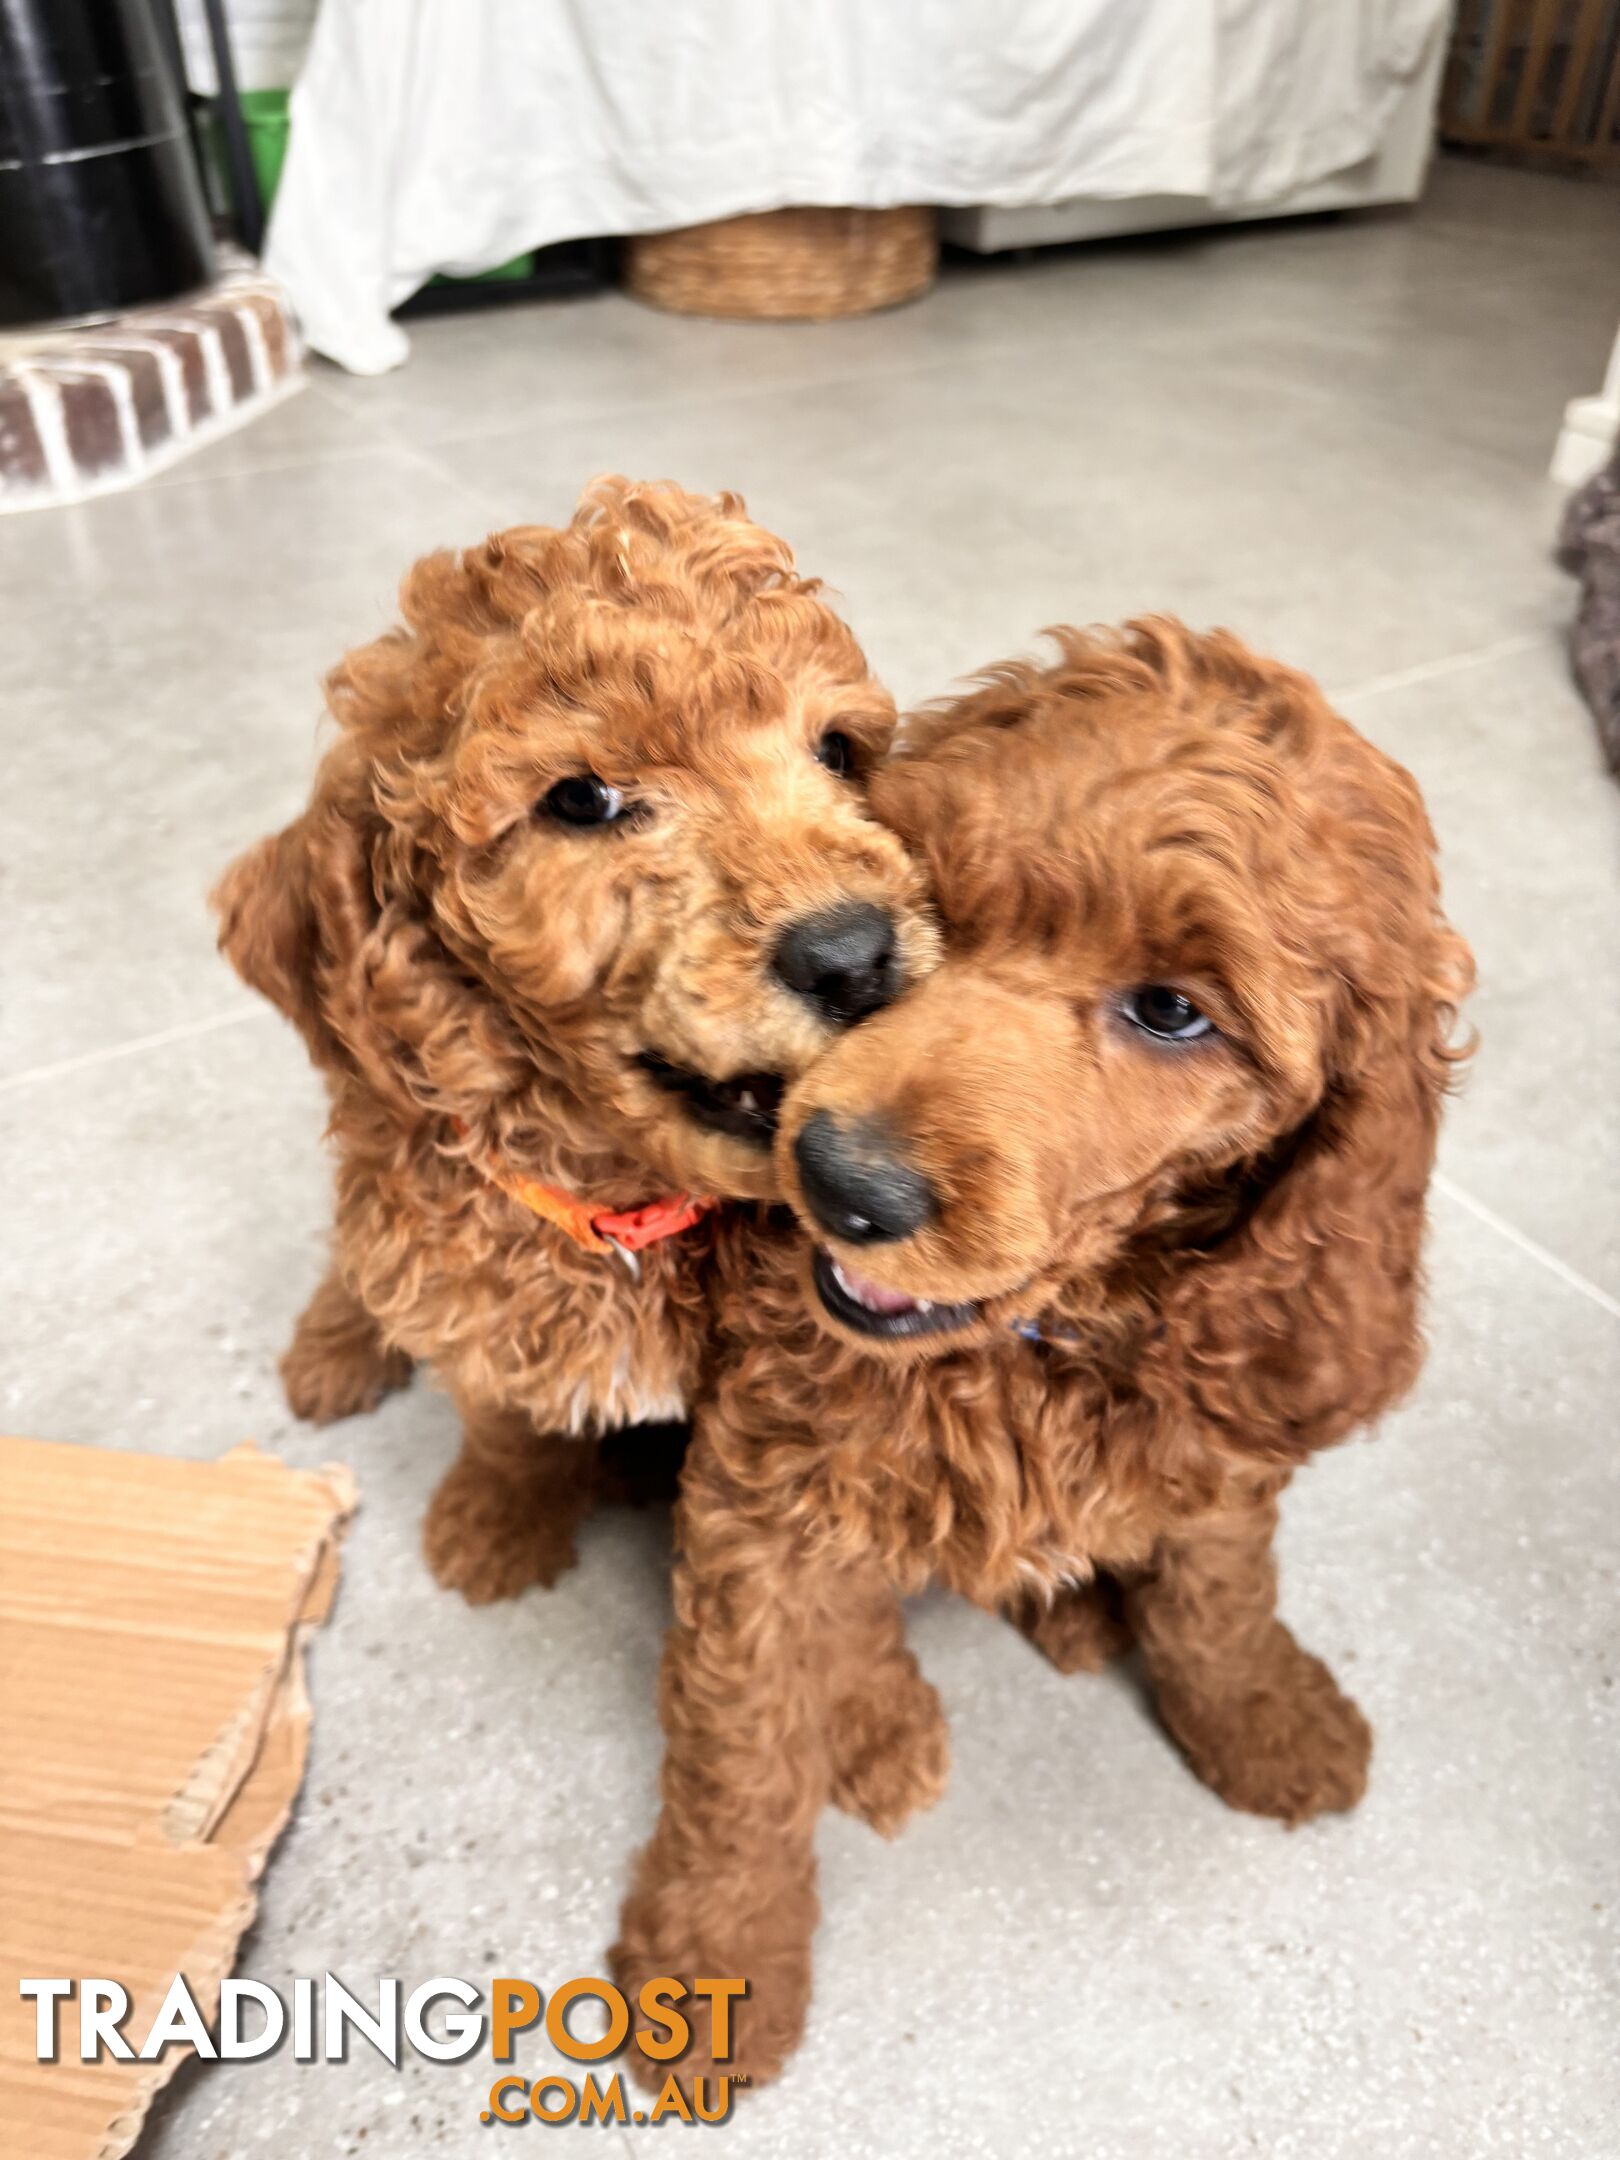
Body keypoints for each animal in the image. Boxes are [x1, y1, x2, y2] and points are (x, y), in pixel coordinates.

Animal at [216, 481, 937, 1615]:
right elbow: (504, 1423)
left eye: (836, 752)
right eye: (581, 799)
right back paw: (334, 1347)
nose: (854, 954)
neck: (625, 1211)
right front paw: (495, 1526)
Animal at [613, 617, 1477, 2082]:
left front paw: (1263, 1714)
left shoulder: (1220, 1411)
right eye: (935, 901)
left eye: (1175, 1013)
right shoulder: (757, 1494)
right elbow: (741, 1741)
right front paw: (715, 1959)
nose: (839, 1179)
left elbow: (1221, 1589)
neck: (1032, 1342)